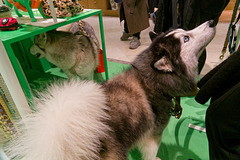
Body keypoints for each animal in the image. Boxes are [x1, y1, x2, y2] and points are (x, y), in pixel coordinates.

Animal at [5, 20, 216, 159]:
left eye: (184, 30)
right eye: (186, 38)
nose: (212, 22)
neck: (151, 81)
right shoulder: (153, 136)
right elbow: (151, 153)